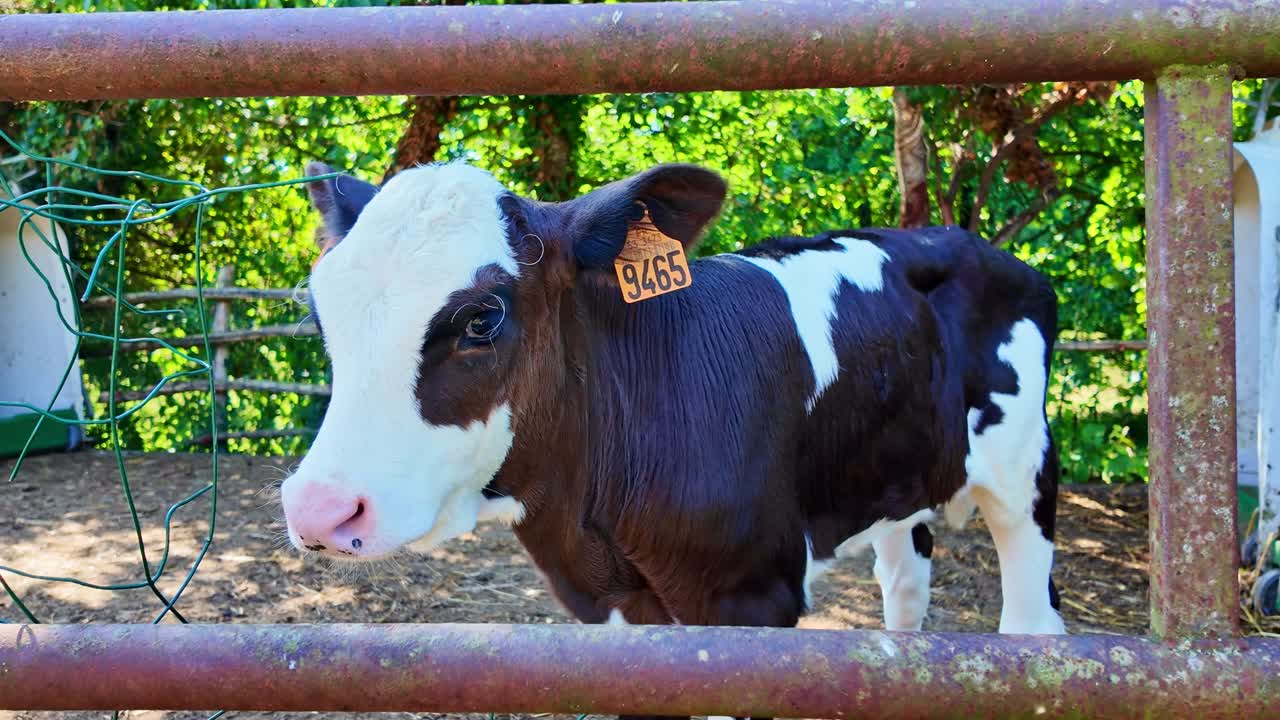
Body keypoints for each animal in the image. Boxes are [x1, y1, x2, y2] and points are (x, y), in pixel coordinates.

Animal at [279, 160, 1066, 652]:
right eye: (321, 314)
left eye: (482, 318)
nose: (319, 509)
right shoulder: (614, 608)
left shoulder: (753, 598)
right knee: (904, 589)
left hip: (1027, 471)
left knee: (1033, 624)